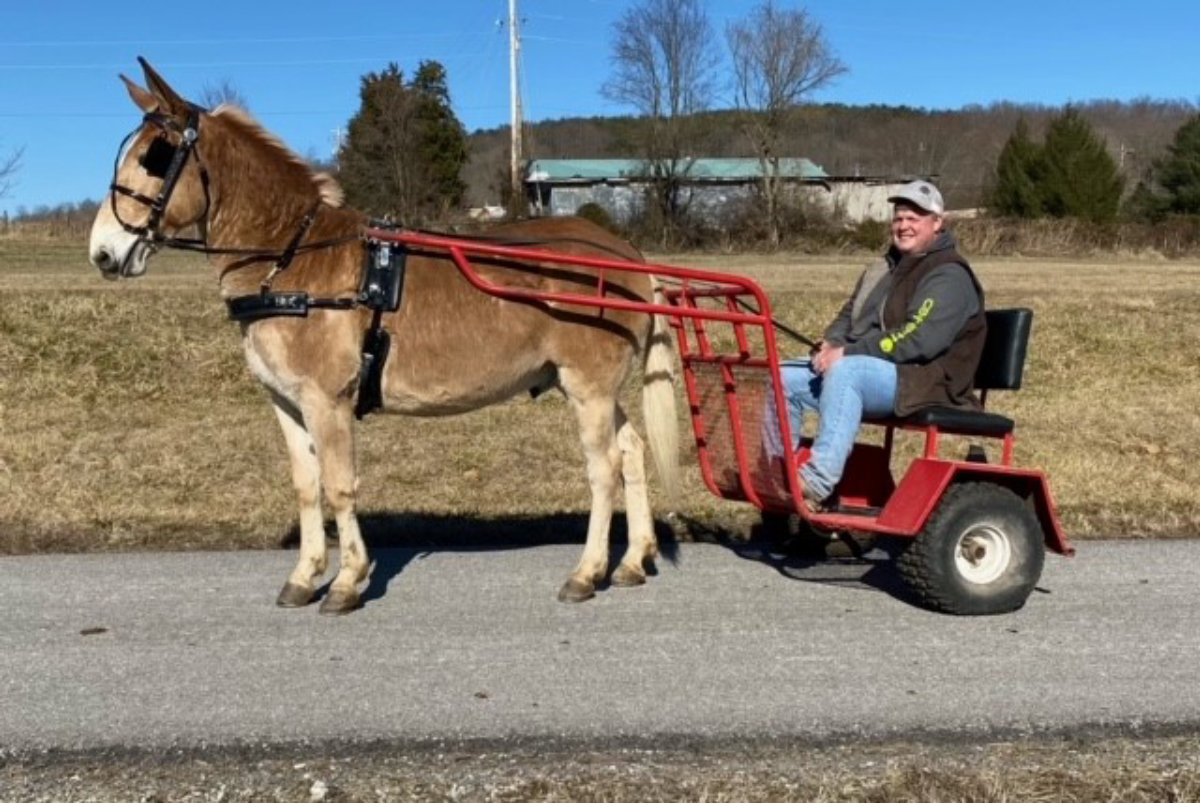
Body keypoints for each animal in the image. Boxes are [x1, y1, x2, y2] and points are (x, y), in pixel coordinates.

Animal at [88, 59, 679, 615]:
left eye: (155, 156)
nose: (103, 252)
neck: (294, 258)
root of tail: (626, 254)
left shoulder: (327, 400)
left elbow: (338, 484)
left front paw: (347, 581)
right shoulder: (286, 403)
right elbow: (306, 487)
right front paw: (304, 575)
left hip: (588, 387)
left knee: (603, 468)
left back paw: (587, 571)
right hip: (588, 387)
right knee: (631, 451)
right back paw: (633, 559)